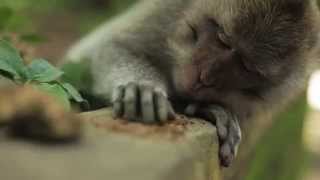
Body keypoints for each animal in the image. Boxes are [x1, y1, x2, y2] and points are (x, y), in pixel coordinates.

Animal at [63, 0, 320, 167]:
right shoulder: (168, 11)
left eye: (247, 66)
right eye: (223, 39)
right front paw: (141, 86)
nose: (205, 76)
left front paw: (207, 107)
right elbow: (111, 47)